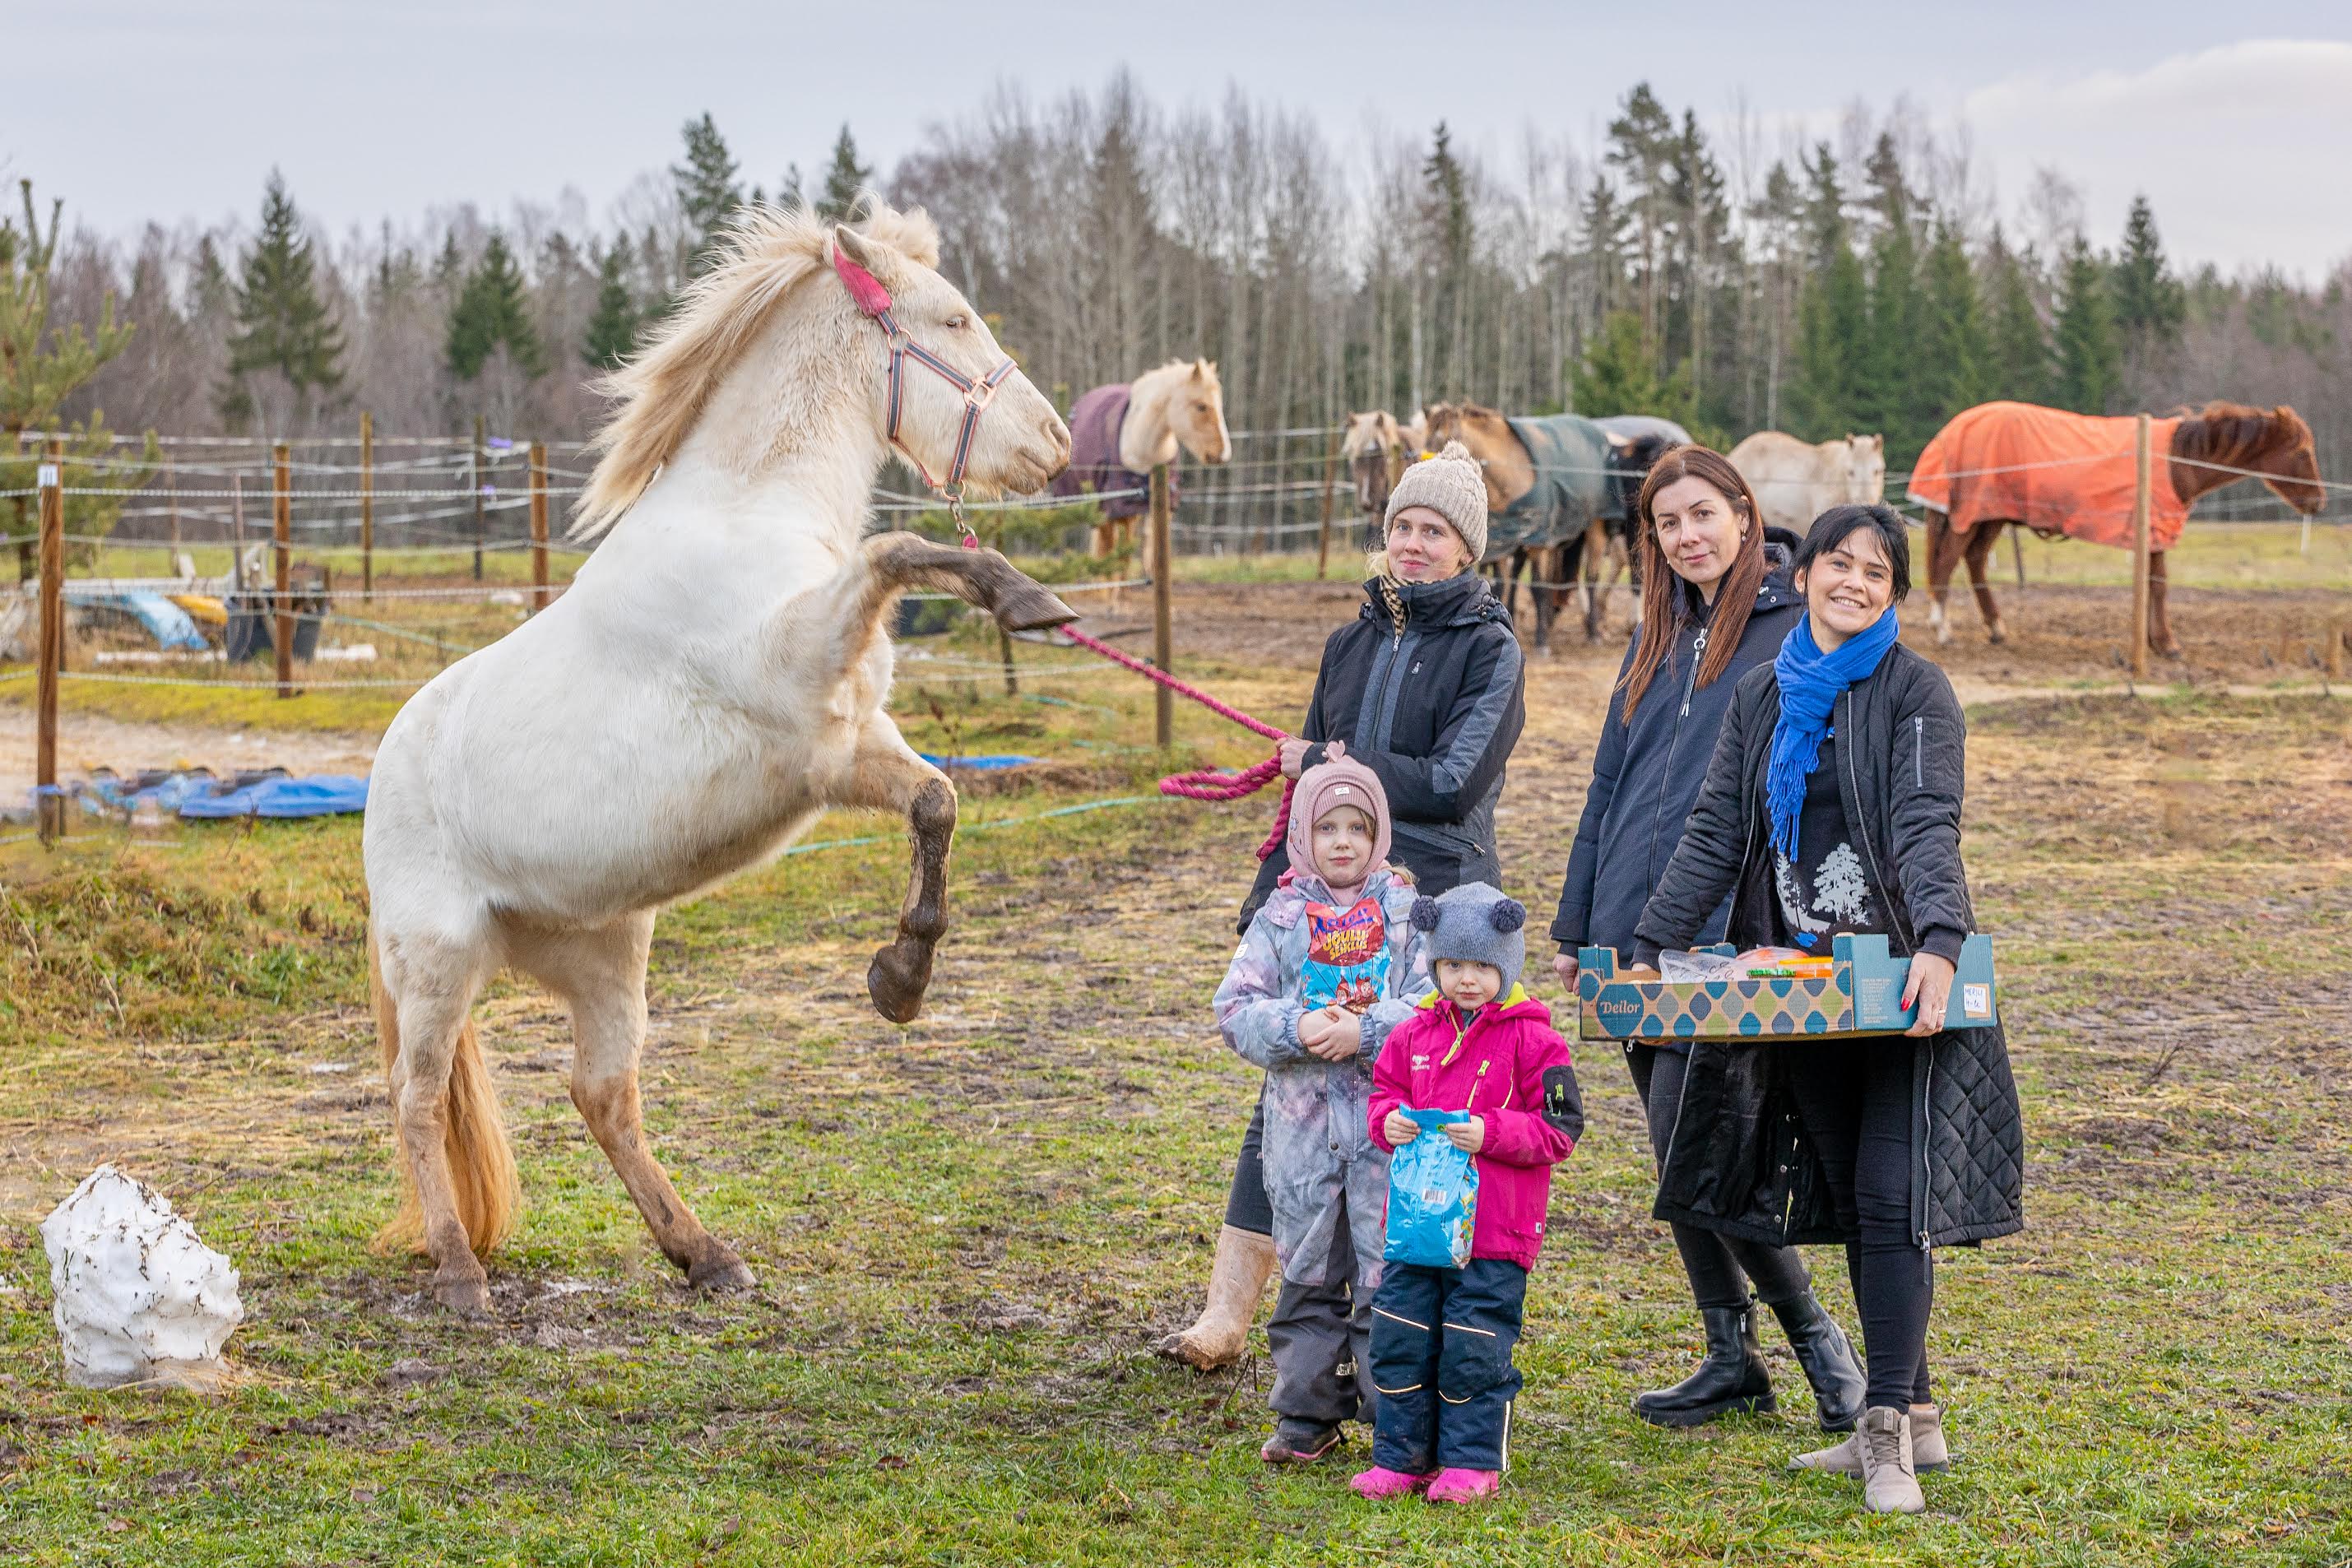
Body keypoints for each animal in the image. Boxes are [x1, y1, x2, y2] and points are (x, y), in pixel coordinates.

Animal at [364, 202, 1077, 1316]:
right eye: (955, 319)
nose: (1055, 444)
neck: (752, 515)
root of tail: (379, 771)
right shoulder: (802, 681)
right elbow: (896, 551)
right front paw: (1024, 596)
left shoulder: (844, 743)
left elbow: (937, 804)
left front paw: (899, 980)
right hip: (438, 965)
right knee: (418, 1099)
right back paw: (459, 1272)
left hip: (607, 953)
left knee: (601, 1095)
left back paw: (704, 1252)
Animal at [1053, 364, 1232, 564]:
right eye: (1201, 406)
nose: (1223, 454)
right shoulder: (1120, 512)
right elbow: (1120, 559)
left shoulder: (1159, 512)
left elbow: (1152, 555)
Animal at [1918, 404, 2323, 658]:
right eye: (2302, 452)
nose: (2318, 502)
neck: (2174, 461)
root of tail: (1950, 432)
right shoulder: (2156, 533)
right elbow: (2158, 586)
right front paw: (2167, 645)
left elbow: (2149, 585)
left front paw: (2152, 641)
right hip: (1970, 515)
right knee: (1948, 562)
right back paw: (1943, 629)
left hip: (1991, 517)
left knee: (1974, 562)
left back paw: (1997, 628)